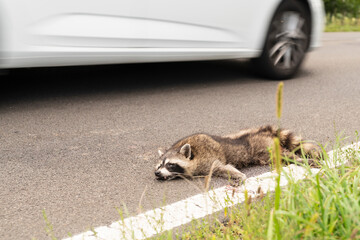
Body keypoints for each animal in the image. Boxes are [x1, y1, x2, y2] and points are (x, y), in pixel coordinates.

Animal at [153, 126, 320, 181]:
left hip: (266, 147)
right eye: (158, 166)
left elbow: (221, 167)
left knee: (286, 155)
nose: (157, 173)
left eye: (170, 164)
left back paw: (300, 160)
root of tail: (261, 131)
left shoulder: (208, 158)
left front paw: (238, 175)